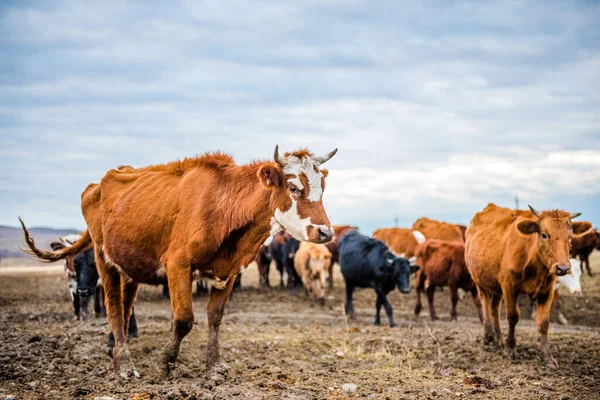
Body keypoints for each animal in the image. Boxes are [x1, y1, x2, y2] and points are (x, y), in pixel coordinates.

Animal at [18, 145, 338, 380]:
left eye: (322, 188)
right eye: (294, 188)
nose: (325, 232)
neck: (224, 206)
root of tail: (100, 182)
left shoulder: (229, 271)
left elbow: (215, 318)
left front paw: (214, 367)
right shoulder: (178, 266)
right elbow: (184, 320)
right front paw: (165, 364)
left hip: (129, 266)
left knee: (125, 305)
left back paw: (117, 349)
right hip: (102, 257)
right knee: (113, 307)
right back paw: (124, 366)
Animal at [464, 203, 592, 366]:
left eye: (570, 237)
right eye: (544, 235)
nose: (562, 268)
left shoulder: (547, 291)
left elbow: (543, 323)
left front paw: (547, 357)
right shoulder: (509, 287)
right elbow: (513, 317)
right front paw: (510, 349)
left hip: (496, 287)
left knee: (494, 310)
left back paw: (498, 341)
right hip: (481, 283)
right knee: (486, 307)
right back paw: (488, 339)